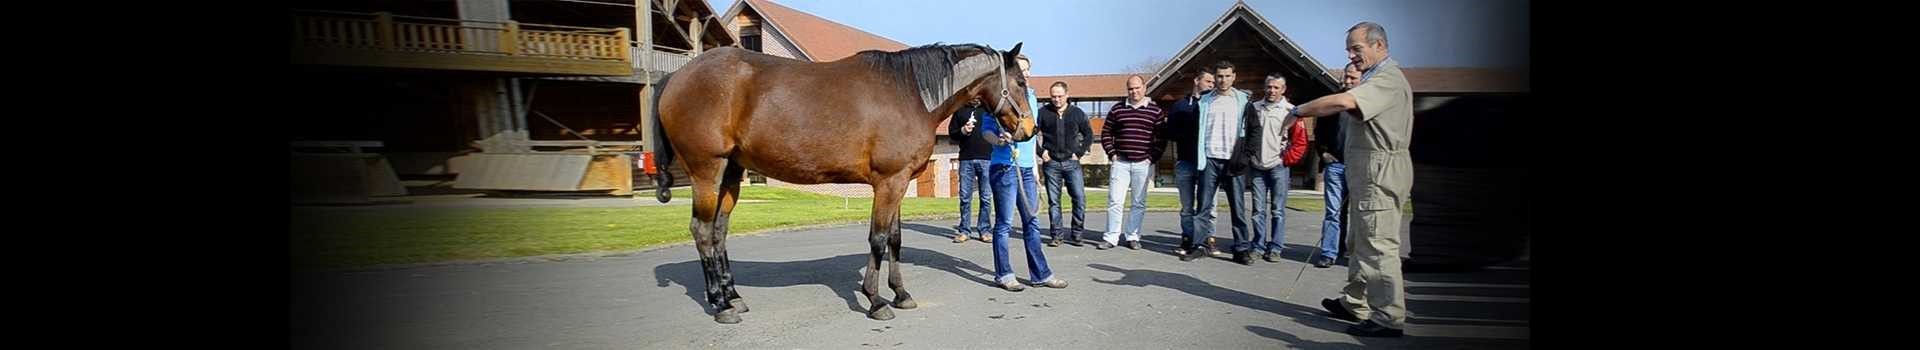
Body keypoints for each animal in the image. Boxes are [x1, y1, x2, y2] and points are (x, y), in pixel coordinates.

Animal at [645, 42, 1036, 323]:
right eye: (1020, 82)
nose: (1029, 131)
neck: (911, 94)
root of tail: (676, 77)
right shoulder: (888, 182)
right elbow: (878, 239)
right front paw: (876, 300)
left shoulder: (899, 183)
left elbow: (895, 240)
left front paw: (901, 294)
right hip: (706, 171)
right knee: (701, 231)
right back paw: (720, 304)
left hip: (730, 174)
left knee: (718, 232)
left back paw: (733, 297)